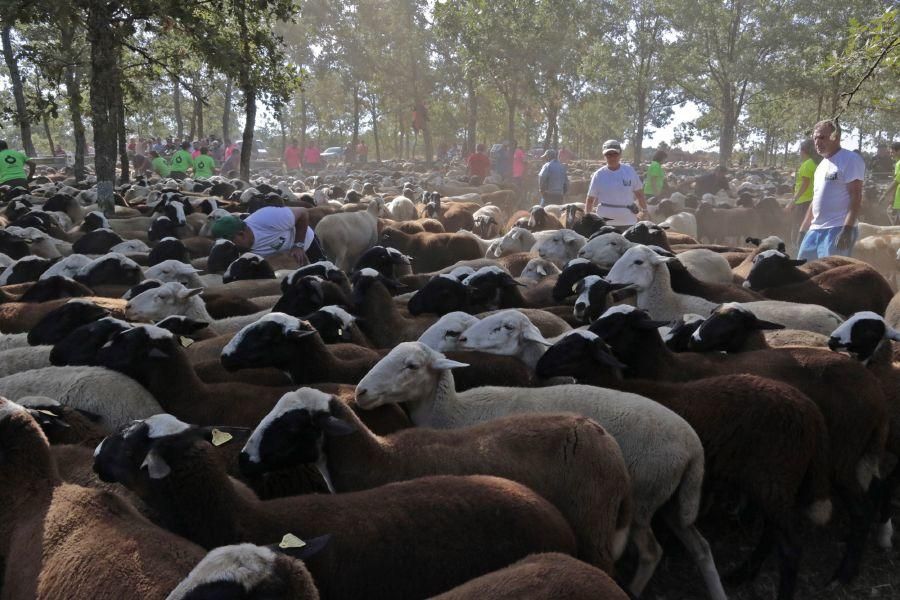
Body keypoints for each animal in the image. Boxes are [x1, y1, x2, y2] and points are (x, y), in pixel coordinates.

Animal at [356, 342, 728, 600]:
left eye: (411, 365)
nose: (361, 392)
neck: (453, 410)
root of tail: (693, 446)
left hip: (642, 496)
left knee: (652, 551)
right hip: (671, 499)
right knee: (701, 546)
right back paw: (717, 590)